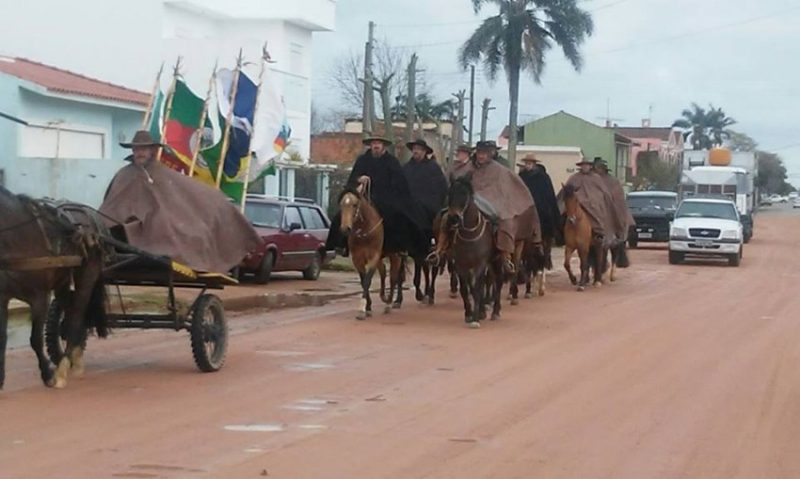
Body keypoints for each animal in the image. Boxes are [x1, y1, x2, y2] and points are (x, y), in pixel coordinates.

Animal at [338, 186, 404, 320]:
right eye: (342, 204)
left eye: (354, 204)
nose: (345, 229)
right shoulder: (357, 259)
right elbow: (363, 280)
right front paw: (367, 307)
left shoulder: (374, 256)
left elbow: (367, 280)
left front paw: (362, 309)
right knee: (384, 271)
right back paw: (385, 297)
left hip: (396, 255)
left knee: (394, 277)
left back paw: (389, 303)